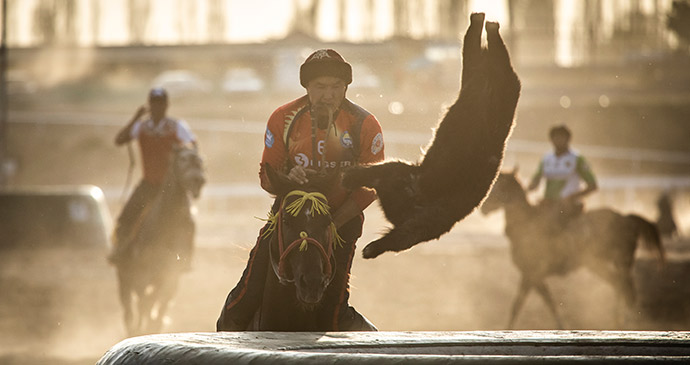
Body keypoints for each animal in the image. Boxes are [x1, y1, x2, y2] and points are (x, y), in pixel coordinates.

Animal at [113, 146, 203, 336]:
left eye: (200, 161)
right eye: (182, 159)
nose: (198, 180)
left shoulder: (172, 276)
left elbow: (159, 305)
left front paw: (154, 325)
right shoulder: (142, 276)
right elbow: (145, 304)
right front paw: (143, 328)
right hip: (123, 278)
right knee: (129, 310)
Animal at [478, 171, 660, 328]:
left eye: (500, 186)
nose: (483, 208)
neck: (528, 224)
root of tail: (627, 218)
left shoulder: (533, 273)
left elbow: (528, 304)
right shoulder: (530, 274)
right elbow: (535, 303)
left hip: (622, 262)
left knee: (628, 290)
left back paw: (628, 322)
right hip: (597, 264)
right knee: (618, 285)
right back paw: (617, 322)